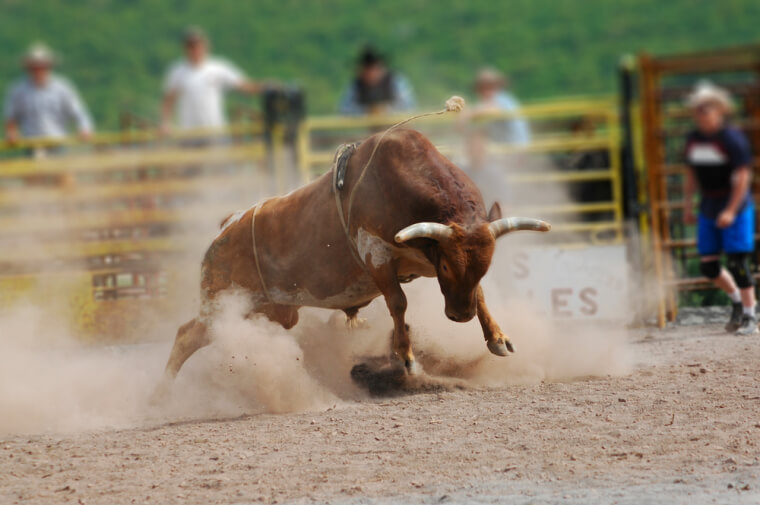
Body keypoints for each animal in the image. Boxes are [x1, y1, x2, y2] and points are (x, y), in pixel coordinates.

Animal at [156, 128, 549, 393]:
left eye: (486, 265)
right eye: (447, 266)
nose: (459, 315)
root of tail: (227, 225)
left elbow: (479, 293)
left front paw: (498, 338)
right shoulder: (377, 256)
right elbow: (398, 303)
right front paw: (406, 359)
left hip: (264, 309)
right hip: (223, 303)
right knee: (185, 335)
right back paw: (161, 395)